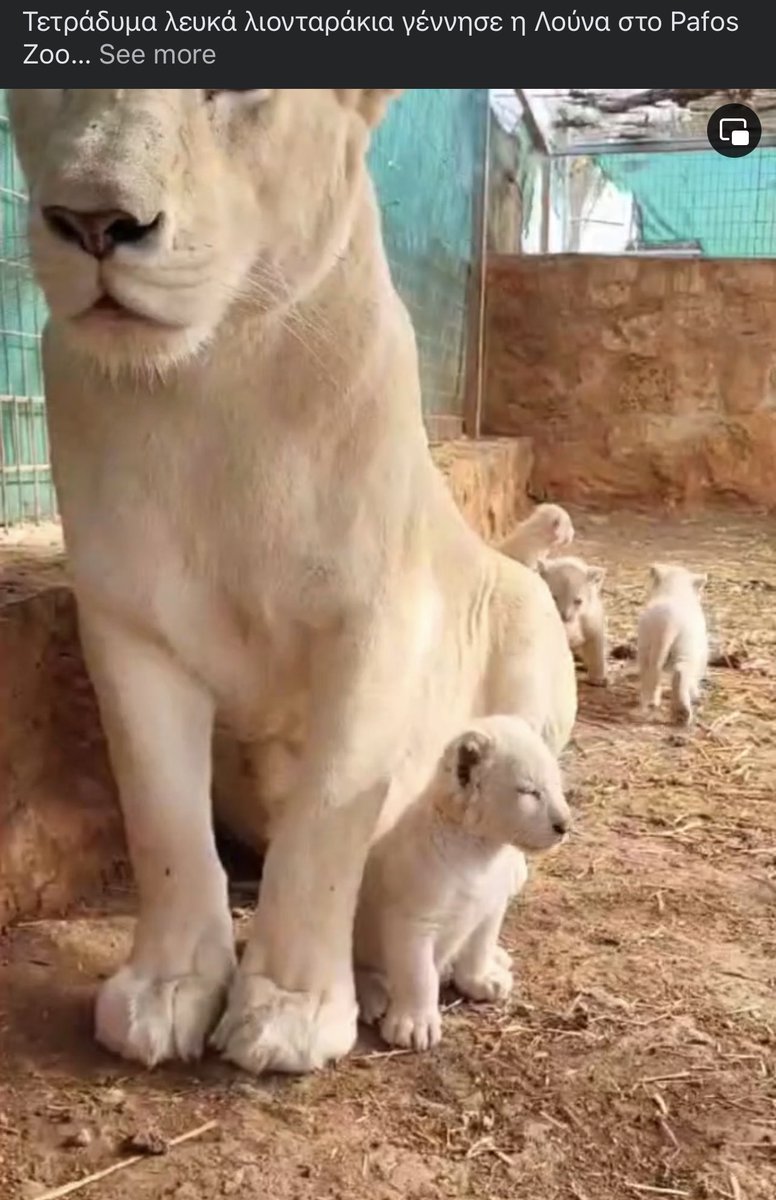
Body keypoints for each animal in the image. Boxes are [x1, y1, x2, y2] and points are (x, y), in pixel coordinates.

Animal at [10, 88, 577, 1076]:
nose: (93, 221)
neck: (210, 389)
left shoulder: (378, 619)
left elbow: (327, 819)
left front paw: (293, 1009)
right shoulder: (126, 624)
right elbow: (161, 816)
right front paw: (166, 989)